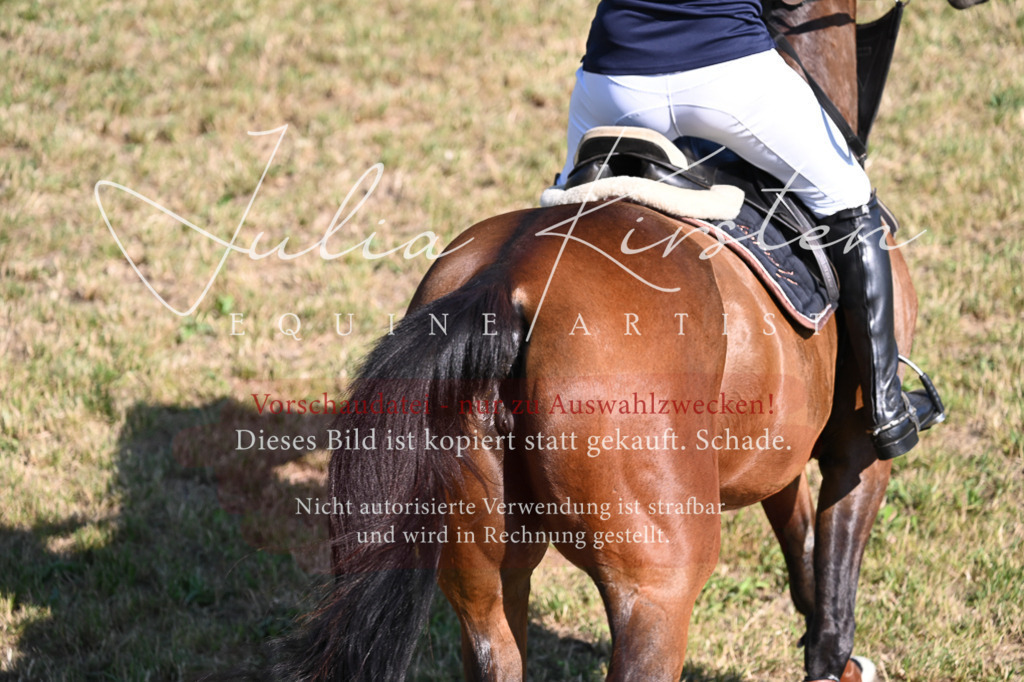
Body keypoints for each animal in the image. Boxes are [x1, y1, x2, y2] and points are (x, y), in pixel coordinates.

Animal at [275, 0, 987, 680]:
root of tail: (509, 282)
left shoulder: (777, 458)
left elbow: (804, 557)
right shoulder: (854, 454)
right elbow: (833, 595)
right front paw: (839, 662)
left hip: (485, 573)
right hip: (657, 585)